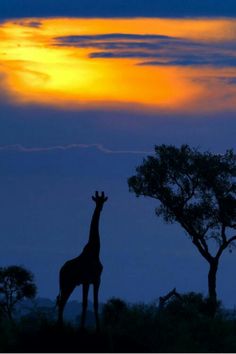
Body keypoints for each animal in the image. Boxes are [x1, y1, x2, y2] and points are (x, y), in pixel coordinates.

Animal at [56, 191, 108, 332]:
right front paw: (82, 328)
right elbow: (84, 303)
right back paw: (60, 326)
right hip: (67, 283)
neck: (95, 251)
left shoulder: (97, 280)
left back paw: (61, 326)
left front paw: (98, 328)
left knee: (62, 301)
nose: (100, 208)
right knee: (61, 301)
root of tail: (61, 270)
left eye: (102, 201)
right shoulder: (86, 280)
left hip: (71, 284)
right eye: (97, 201)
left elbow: (95, 303)